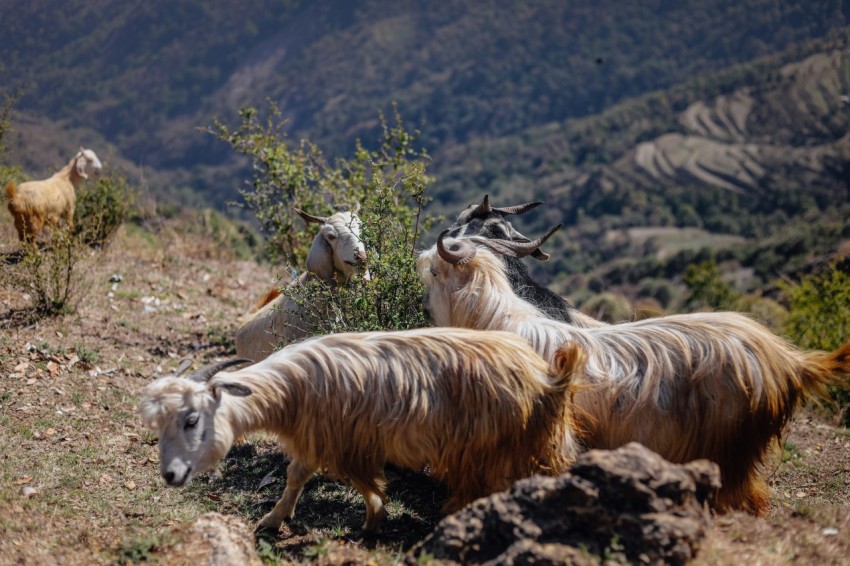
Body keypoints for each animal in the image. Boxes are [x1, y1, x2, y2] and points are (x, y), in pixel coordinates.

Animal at [140, 328, 585, 533]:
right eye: (159, 425)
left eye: (192, 419)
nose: (170, 475)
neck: (293, 390)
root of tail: (549, 376)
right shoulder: (325, 438)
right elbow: (296, 475)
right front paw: (277, 516)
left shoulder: (344, 439)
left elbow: (349, 479)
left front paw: (373, 518)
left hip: (494, 445)